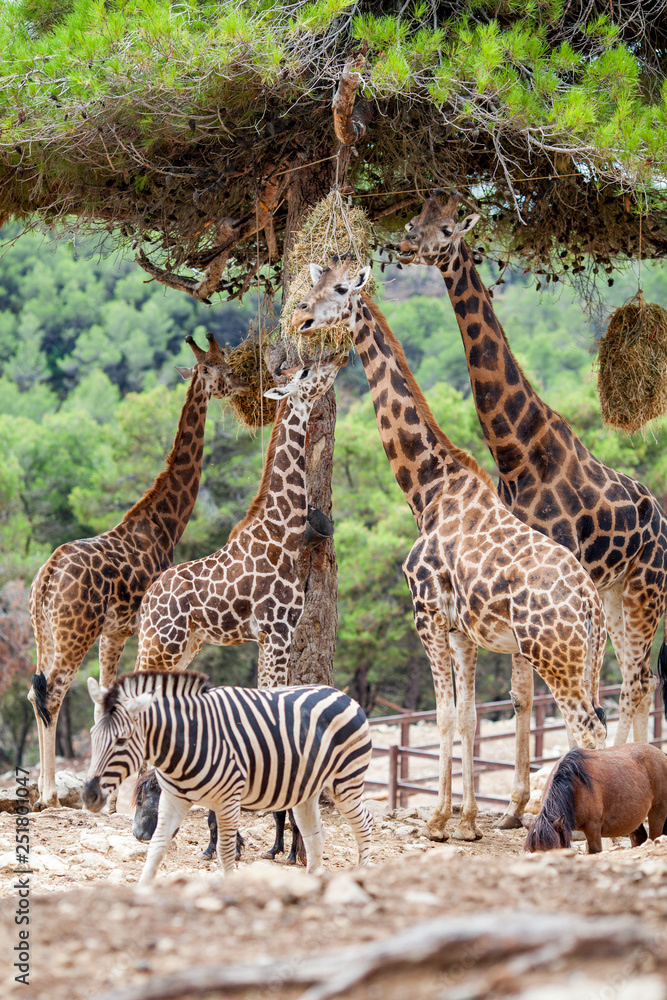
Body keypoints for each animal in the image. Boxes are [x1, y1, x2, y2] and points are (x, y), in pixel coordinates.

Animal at [28, 333, 248, 807]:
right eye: (221, 368)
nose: (244, 384)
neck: (164, 523)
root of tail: (46, 580)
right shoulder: (141, 630)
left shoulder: (115, 632)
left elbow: (109, 697)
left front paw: (114, 796)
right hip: (74, 634)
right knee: (51, 694)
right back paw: (50, 793)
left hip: (46, 635)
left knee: (34, 690)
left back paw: (43, 790)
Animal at [292, 261, 607, 842]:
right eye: (315, 284)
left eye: (339, 289)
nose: (300, 316)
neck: (428, 490)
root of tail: (591, 603)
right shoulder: (462, 628)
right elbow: (467, 718)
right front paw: (465, 822)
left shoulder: (426, 613)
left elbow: (440, 715)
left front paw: (438, 821)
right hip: (588, 658)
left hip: (557, 656)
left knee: (587, 731)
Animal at [399, 190, 667, 822]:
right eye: (416, 217)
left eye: (446, 228)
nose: (403, 244)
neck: (516, 451)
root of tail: (663, 518)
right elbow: (520, 694)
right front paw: (511, 807)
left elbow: (535, 693)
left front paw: (526, 802)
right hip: (612, 597)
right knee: (634, 679)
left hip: (644, 591)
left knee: (638, 679)